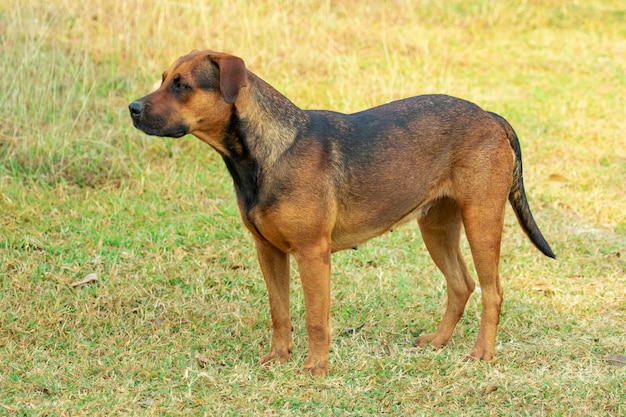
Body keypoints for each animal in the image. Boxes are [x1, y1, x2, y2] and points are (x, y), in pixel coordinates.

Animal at [127, 49, 552, 376]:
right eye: (163, 79)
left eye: (181, 85)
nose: (132, 108)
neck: (263, 153)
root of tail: (491, 116)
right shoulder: (269, 252)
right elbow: (279, 311)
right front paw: (278, 358)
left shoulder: (312, 254)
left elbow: (316, 318)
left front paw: (316, 367)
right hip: (436, 225)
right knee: (461, 284)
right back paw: (438, 341)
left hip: (481, 219)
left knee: (492, 291)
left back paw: (481, 354)